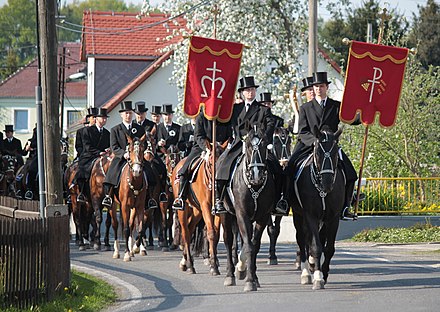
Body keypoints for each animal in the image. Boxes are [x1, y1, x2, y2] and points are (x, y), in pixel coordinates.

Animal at [171, 141, 227, 276]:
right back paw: (190, 265)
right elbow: (211, 233)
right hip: (183, 209)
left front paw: (213, 262)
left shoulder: (217, 211)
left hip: (197, 211)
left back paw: (185, 262)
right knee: (186, 232)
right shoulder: (206, 206)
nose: (218, 182)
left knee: (191, 227)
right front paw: (214, 267)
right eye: (212, 162)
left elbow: (216, 234)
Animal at [223, 125, 276, 292]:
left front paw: (253, 278)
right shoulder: (242, 215)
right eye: (247, 146)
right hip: (225, 214)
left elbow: (254, 245)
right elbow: (248, 246)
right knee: (228, 240)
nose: (256, 174)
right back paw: (229, 275)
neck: (255, 187)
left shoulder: (263, 216)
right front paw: (249, 279)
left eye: (265, 145)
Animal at [288, 126, 348, 290]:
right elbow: (316, 246)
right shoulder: (311, 216)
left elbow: (329, 248)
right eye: (318, 152)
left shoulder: (333, 218)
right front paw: (318, 278)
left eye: (335, 153)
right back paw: (306, 273)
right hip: (299, 215)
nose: (327, 183)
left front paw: (324, 273)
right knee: (302, 239)